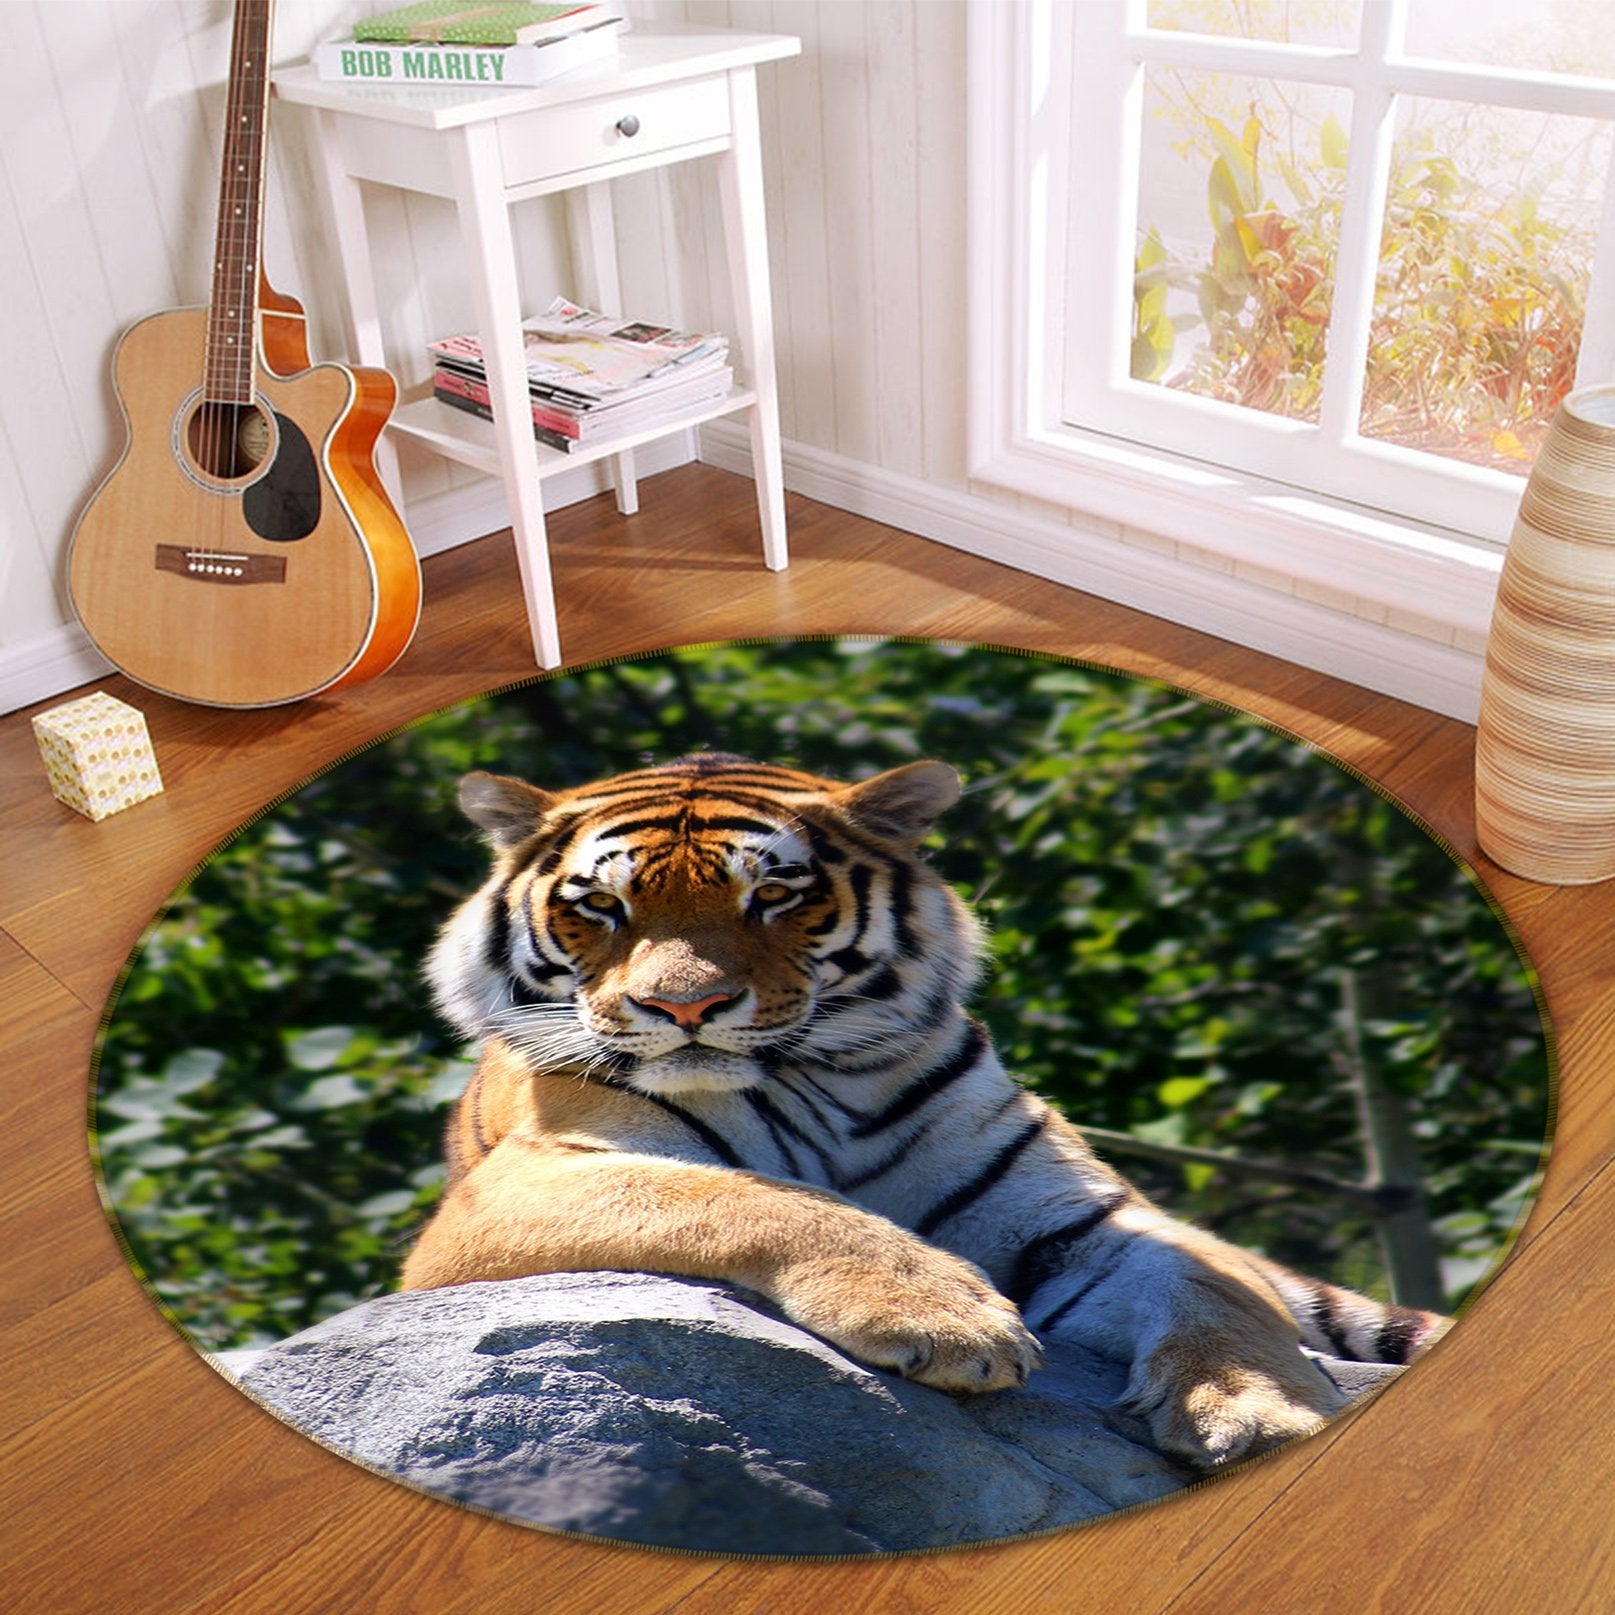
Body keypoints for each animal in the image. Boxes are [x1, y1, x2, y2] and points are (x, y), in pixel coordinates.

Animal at [402, 752, 1448, 1470]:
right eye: (603, 907)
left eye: (771, 895)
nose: (685, 1008)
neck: (819, 1080)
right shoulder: (517, 1185)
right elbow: (750, 1197)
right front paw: (950, 1322)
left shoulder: (1086, 1221)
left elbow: (1215, 1287)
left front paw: (1262, 1411)